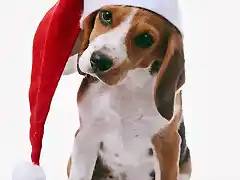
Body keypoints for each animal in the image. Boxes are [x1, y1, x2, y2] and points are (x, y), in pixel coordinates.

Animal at [63, 4, 191, 180]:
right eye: (106, 15)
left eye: (145, 38)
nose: (99, 61)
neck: (126, 87)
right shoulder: (86, 137)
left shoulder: (168, 144)